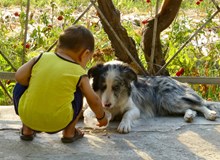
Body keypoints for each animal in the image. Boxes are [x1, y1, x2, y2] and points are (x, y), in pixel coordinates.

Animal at [83, 60, 219, 133]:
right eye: (102, 86)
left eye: (116, 87)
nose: (106, 105)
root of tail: (177, 81)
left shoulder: (135, 109)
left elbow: (127, 115)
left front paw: (124, 125)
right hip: (167, 106)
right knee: (190, 108)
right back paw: (189, 115)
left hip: (169, 99)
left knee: (198, 104)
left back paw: (209, 114)